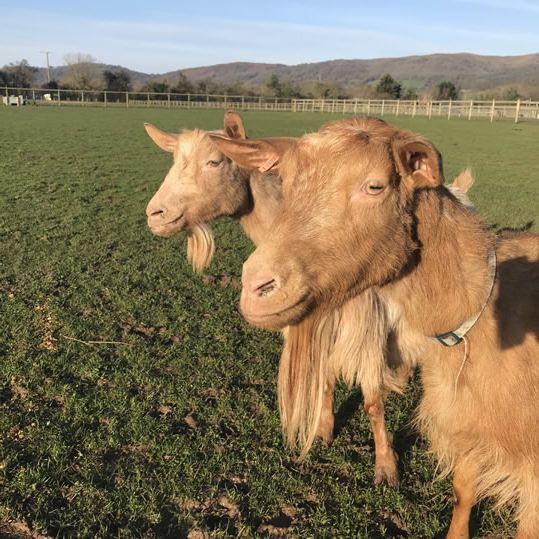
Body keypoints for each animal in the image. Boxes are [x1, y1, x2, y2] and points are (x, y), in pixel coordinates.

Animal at [210, 119, 539, 539]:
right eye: (285, 181)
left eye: (375, 186)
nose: (257, 288)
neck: (483, 310)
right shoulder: (464, 425)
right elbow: (463, 490)